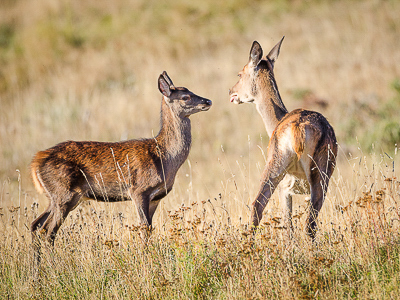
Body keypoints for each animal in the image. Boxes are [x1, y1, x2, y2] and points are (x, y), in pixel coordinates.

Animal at [30, 71, 212, 245]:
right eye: (185, 97)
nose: (208, 101)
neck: (165, 158)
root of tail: (36, 161)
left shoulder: (156, 197)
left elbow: (149, 228)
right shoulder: (138, 190)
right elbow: (144, 228)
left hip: (58, 196)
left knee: (36, 225)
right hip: (64, 193)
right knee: (48, 231)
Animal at [228, 38, 338, 239]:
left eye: (240, 73)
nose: (231, 92)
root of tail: (299, 127)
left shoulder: (285, 190)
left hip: (275, 171)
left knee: (258, 205)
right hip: (319, 181)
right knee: (310, 224)